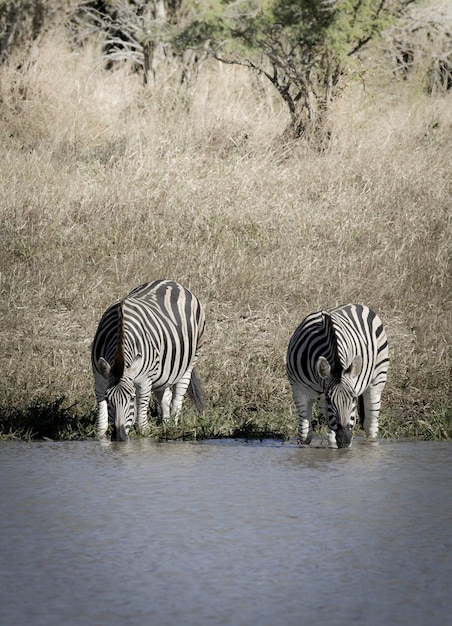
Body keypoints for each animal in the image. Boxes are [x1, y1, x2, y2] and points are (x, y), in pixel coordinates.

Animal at [92, 278, 205, 438]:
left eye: (132, 398)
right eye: (108, 399)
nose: (119, 437)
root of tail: (171, 282)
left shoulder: (144, 381)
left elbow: (142, 425)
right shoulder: (99, 378)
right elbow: (101, 426)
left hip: (190, 360)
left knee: (177, 397)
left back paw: (173, 426)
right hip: (163, 371)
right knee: (165, 396)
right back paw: (165, 424)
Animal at [286, 304, 388, 446]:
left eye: (353, 399)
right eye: (329, 399)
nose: (344, 439)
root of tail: (356, 304)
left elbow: (331, 438)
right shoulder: (298, 388)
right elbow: (305, 434)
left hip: (378, 376)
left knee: (371, 424)